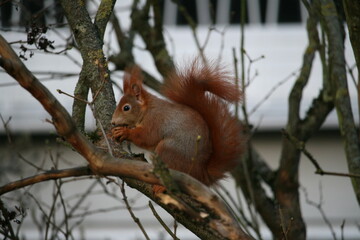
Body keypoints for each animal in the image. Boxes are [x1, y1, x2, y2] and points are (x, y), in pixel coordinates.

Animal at [111, 61, 243, 190]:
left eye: (126, 108)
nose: (112, 122)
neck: (147, 110)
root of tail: (200, 174)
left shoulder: (155, 121)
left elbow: (147, 137)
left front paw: (125, 132)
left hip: (168, 150)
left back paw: (161, 186)